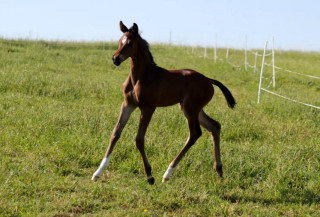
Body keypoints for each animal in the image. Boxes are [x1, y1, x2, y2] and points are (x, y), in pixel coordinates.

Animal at [90, 20, 235, 185]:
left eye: (130, 43)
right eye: (120, 41)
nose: (115, 59)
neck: (141, 77)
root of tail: (209, 80)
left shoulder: (148, 108)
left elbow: (139, 139)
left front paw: (149, 176)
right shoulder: (128, 104)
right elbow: (115, 133)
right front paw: (97, 173)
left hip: (190, 109)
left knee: (195, 133)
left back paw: (167, 173)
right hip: (193, 108)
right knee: (214, 126)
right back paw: (219, 171)